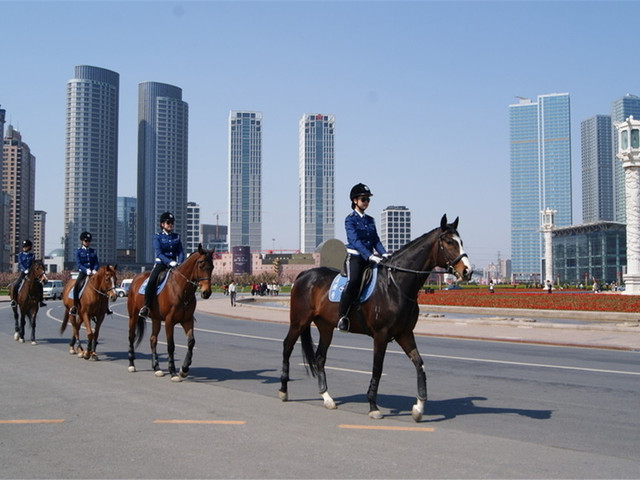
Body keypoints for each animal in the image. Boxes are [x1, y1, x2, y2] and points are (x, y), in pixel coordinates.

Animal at [126, 244, 214, 382]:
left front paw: (184, 369)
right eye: (201, 266)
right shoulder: (169, 321)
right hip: (133, 315)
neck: (181, 288)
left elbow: (191, 342)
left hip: (156, 319)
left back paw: (157, 368)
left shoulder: (187, 320)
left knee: (153, 339)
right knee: (131, 336)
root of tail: (136, 278)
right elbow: (171, 345)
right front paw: (173, 372)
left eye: (212, 267)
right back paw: (131, 365)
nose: (206, 293)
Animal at [278, 214, 472, 420]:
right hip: (298, 321)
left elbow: (419, 364)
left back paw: (327, 398)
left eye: (461, 241)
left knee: (320, 357)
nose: (468, 271)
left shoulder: (405, 334)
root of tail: (304, 274)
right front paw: (373, 406)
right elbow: (377, 368)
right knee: (287, 347)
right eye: (449, 242)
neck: (395, 285)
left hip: (326, 327)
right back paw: (283, 389)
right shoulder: (381, 335)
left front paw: (419, 407)